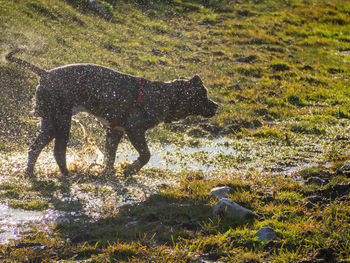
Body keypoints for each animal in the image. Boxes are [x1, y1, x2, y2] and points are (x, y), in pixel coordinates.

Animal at [5, 49, 217, 177]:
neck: (164, 96)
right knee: (58, 151)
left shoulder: (115, 131)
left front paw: (109, 173)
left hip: (49, 123)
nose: (216, 106)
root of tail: (45, 73)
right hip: (62, 121)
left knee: (34, 148)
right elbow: (146, 154)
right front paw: (130, 170)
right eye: (203, 95)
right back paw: (66, 174)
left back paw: (31, 173)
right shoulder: (134, 129)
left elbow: (110, 156)